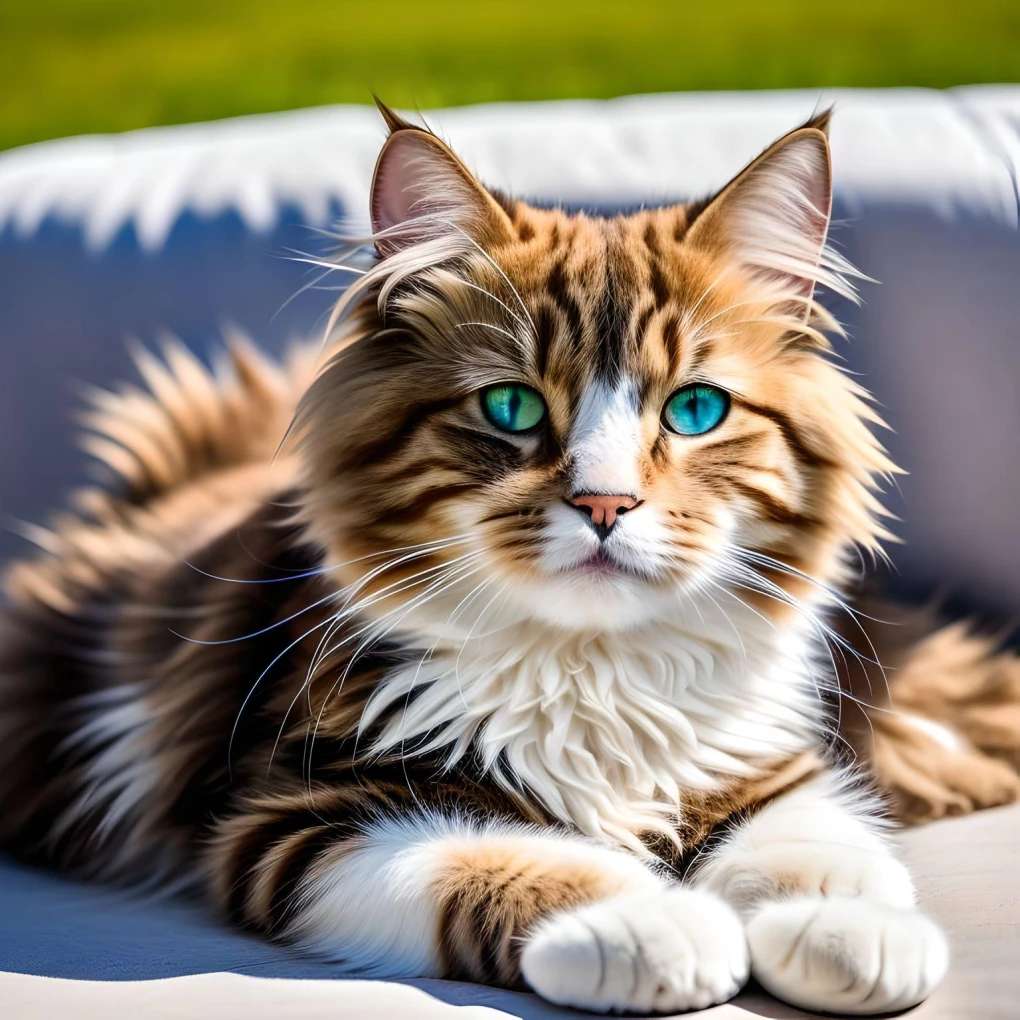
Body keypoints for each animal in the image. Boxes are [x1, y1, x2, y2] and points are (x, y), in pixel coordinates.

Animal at [1, 107, 1020, 1015]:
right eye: (512, 408)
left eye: (695, 409)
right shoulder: (299, 812)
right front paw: (657, 928)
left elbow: (814, 850)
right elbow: (505, 856)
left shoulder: (763, 758)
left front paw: (853, 935)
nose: (606, 504)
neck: (595, 673)